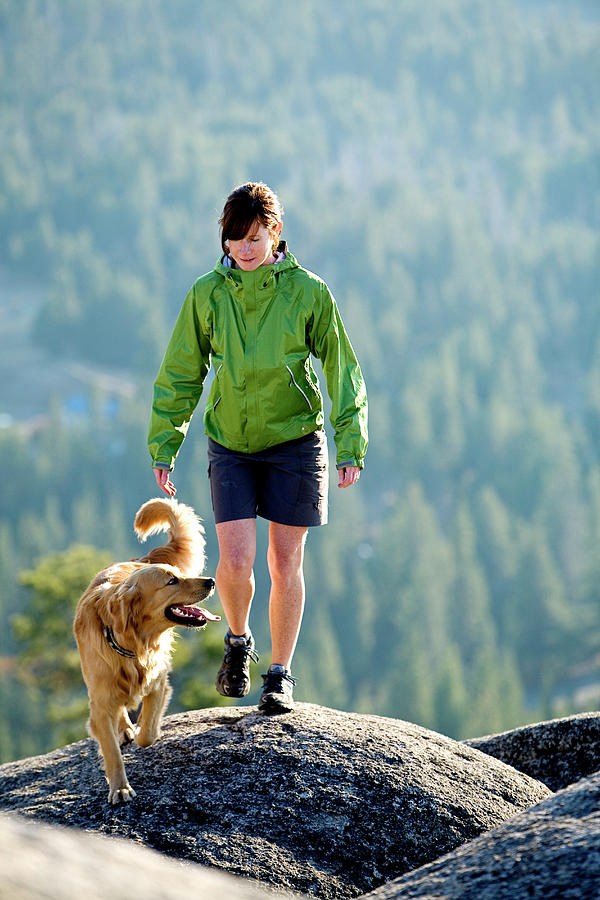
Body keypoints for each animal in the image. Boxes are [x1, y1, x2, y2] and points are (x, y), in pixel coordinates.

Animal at [73, 500, 218, 800]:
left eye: (181, 575)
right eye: (172, 581)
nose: (210, 581)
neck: (133, 645)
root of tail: (139, 559)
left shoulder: (158, 681)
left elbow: (148, 732)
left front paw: (143, 731)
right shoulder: (99, 703)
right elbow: (111, 751)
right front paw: (120, 788)